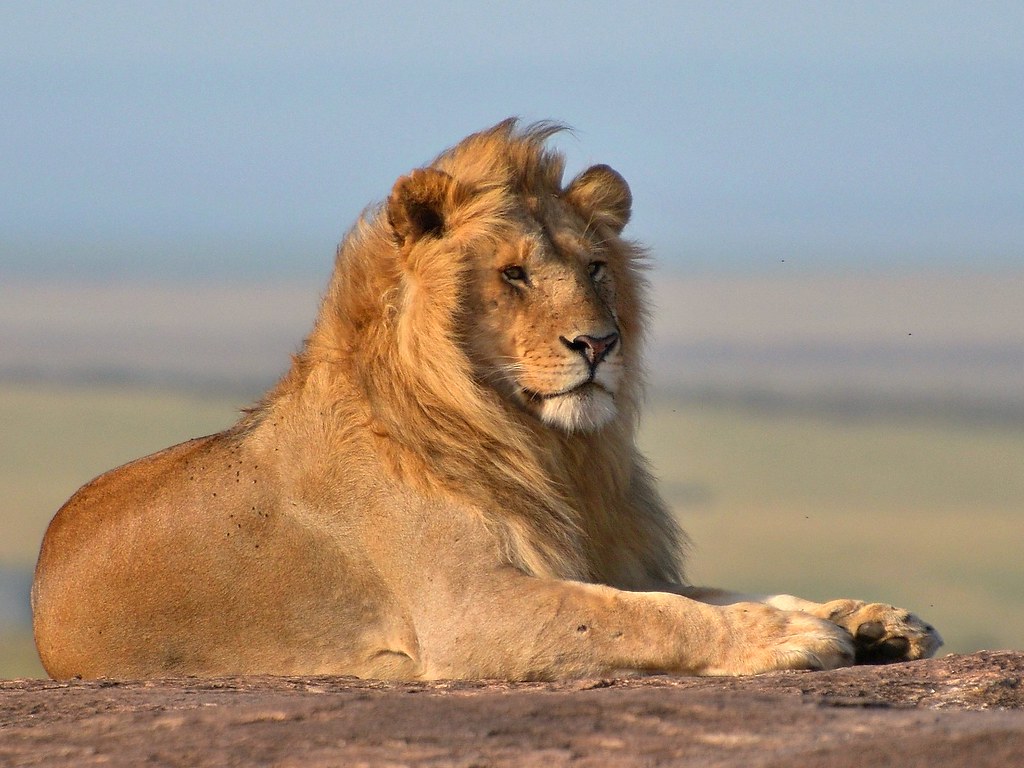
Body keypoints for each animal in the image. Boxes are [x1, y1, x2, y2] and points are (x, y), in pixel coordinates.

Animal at [32, 120, 941, 680]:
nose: (598, 344)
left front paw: (871, 618)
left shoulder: (608, 559)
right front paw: (792, 636)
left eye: (596, 268)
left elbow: (705, 592)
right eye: (513, 275)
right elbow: (643, 617)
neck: (557, 449)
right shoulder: (469, 610)